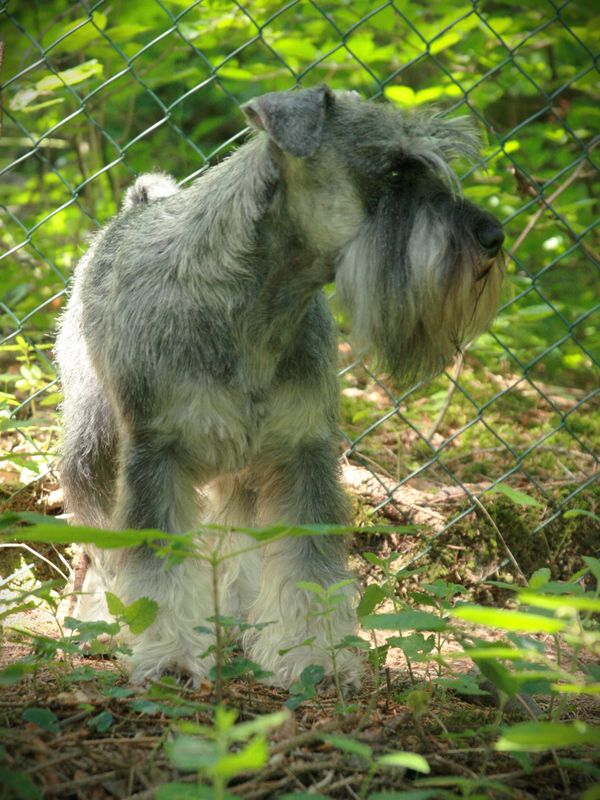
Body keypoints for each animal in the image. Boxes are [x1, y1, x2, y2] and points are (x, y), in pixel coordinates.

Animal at [57, 86, 506, 688]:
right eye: (393, 170)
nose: (493, 237)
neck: (258, 308)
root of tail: (135, 207)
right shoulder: (157, 455)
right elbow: (156, 565)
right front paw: (171, 657)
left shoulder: (301, 454)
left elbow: (307, 568)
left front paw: (314, 657)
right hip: (96, 441)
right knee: (101, 536)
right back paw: (104, 621)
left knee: (235, 536)